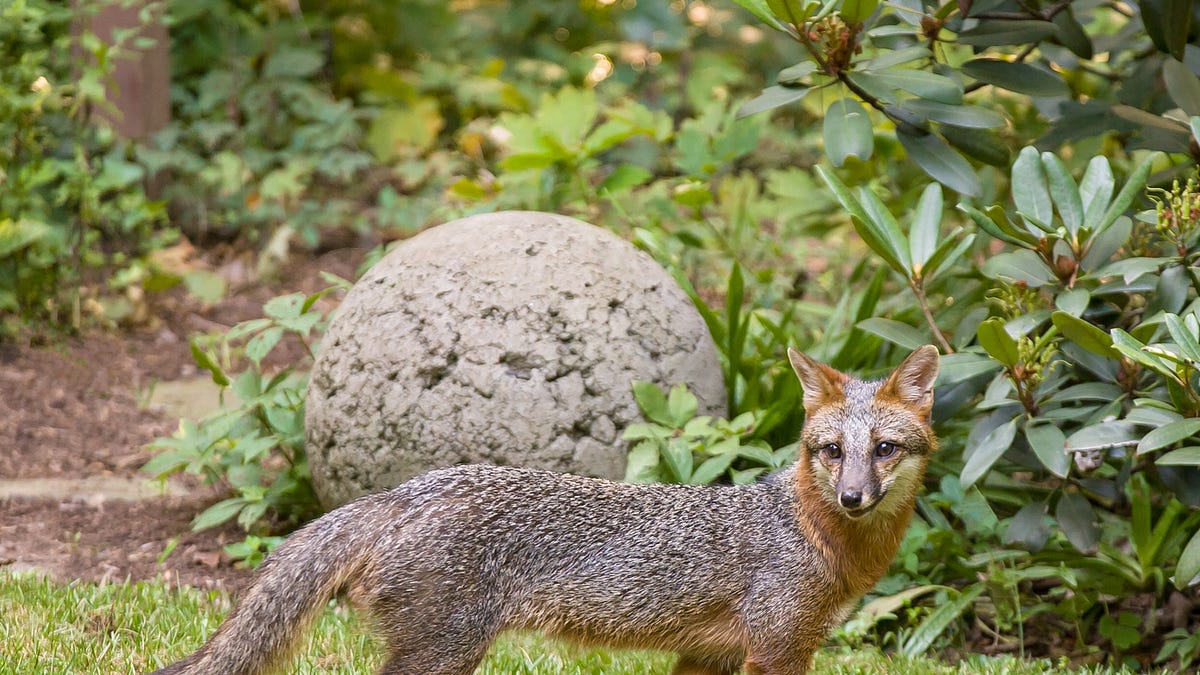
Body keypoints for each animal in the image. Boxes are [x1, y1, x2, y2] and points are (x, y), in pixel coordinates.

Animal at [149, 345, 939, 675]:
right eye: (833, 451)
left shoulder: (707, 656)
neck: (812, 533)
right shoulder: (776, 651)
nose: (853, 497)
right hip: (444, 651)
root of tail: (403, 492)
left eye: (885, 449)